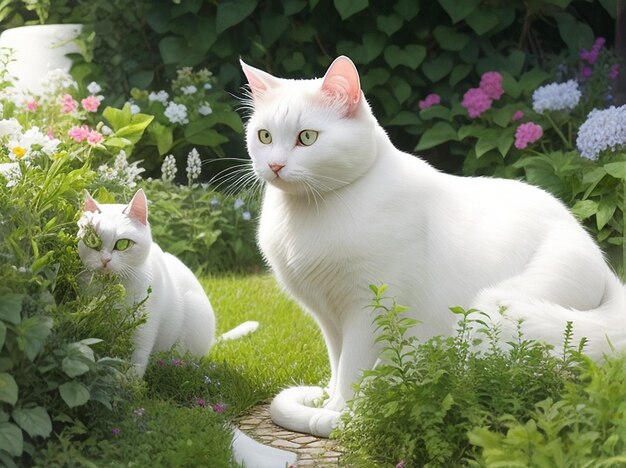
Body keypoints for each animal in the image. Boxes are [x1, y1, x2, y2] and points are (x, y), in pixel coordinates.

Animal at [78, 189, 258, 376]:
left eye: (123, 244)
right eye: (92, 241)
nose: (105, 260)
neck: (111, 287)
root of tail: (210, 342)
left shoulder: (144, 325)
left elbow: (136, 358)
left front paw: (130, 381)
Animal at [240, 56, 624, 436]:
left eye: (307, 137)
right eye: (264, 136)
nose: (275, 164)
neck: (306, 216)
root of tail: (603, 265)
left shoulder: (367, 310)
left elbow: (352, 367)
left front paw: (341, 412)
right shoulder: (328, 318)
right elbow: (337, 364)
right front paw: (330, 400)